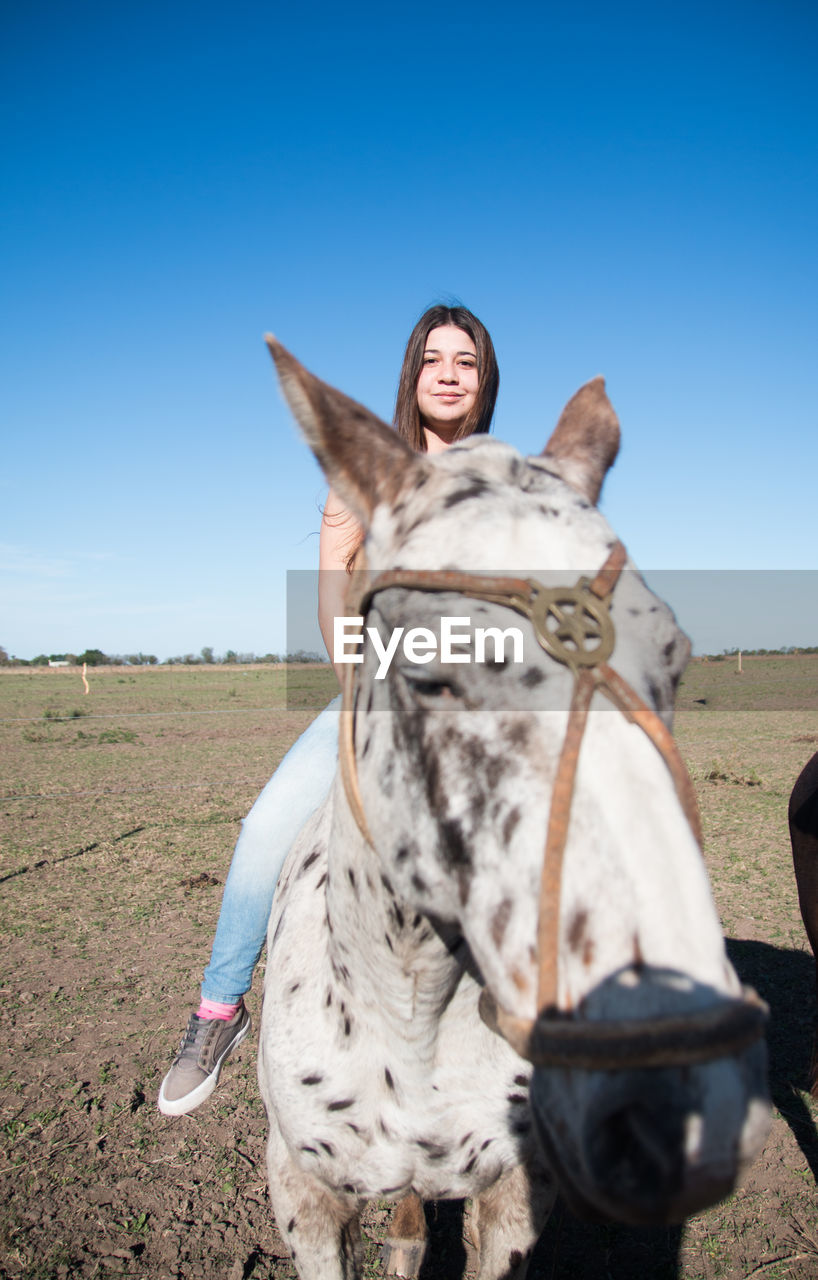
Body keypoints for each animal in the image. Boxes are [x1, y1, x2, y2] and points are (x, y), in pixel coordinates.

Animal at [258, 340, 773, 1280]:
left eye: (675, 657)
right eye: (425, 672)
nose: (676, 1110)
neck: (411, 1020)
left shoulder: (512, 1201)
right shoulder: (304, 1204)